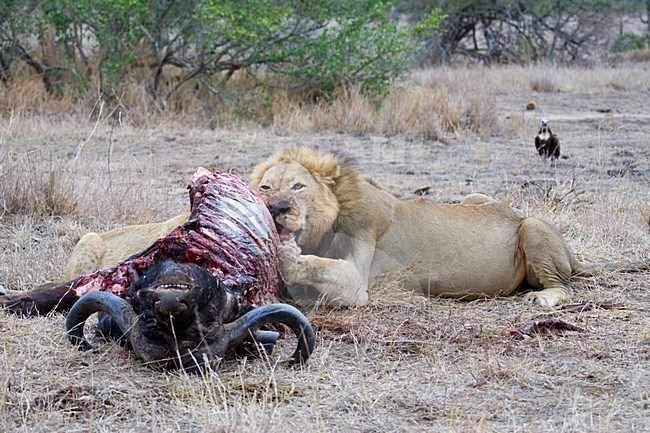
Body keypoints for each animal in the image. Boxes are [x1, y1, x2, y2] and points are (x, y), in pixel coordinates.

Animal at [249, 145, 636, 308]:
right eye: (266, 187)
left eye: (298, 186)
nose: (276, 207)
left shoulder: (358, 284)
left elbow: (328, 269)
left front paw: (289, 258)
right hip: (478, 198)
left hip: (533, 226)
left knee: (564, 285)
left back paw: (543, 298)